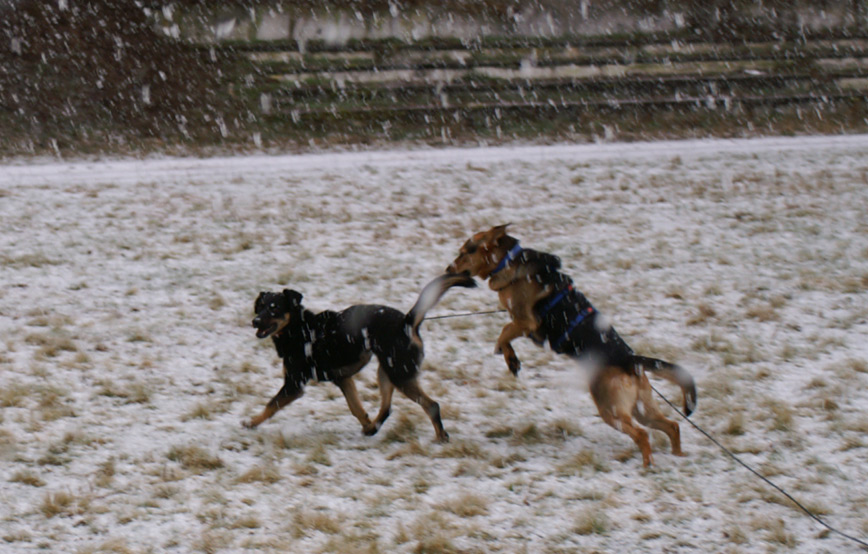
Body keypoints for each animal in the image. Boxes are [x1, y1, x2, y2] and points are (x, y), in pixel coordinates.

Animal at [242, 272, 474, 440]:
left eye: (274, 309)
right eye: (260, 307)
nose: (255, 321)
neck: (299, 330)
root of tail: (406, 323)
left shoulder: (294, 384)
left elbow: (271, 405)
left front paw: (251, 422)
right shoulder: (343, 378)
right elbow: (356, 408)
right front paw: (366, 424)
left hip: (399, 373)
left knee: (432, 405)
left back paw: (441, 437)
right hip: (386, 372)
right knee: (387, 407)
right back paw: (373, 429)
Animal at [450, 224, 696, 466]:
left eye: (463, 253)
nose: (448, 269)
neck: (508, 259)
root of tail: (631, 360)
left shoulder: (525, 322)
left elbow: (503, 333)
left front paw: (509, 358)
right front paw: (511, 358)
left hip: (611, 409)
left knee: (643, 435)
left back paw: (648, 467)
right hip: (641, 408)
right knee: (672, 426)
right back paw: (678, 456)